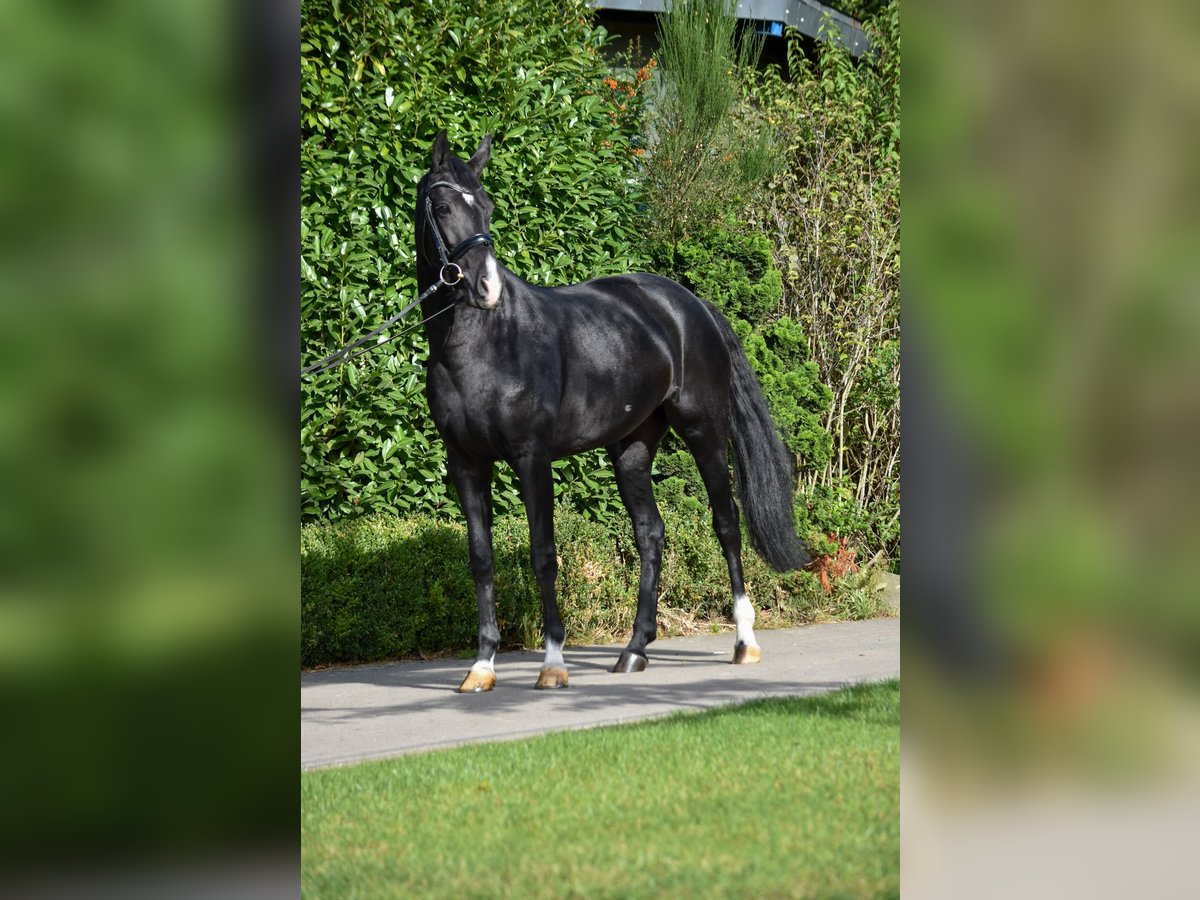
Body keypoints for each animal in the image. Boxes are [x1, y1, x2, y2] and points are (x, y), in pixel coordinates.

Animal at [416, 131, 812, 692]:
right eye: (446, 207)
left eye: (488, 207)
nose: (487, 288)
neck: (484, 345)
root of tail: (691, 306)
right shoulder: (466, 463)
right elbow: (481, 559)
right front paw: (482, 667)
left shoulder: (531, 458)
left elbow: (543, 554)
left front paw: (553, 664)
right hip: (632, 448)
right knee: (651, 533)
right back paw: (634, 649)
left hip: (704, 432)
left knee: (726, 523)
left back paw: (744, 641)